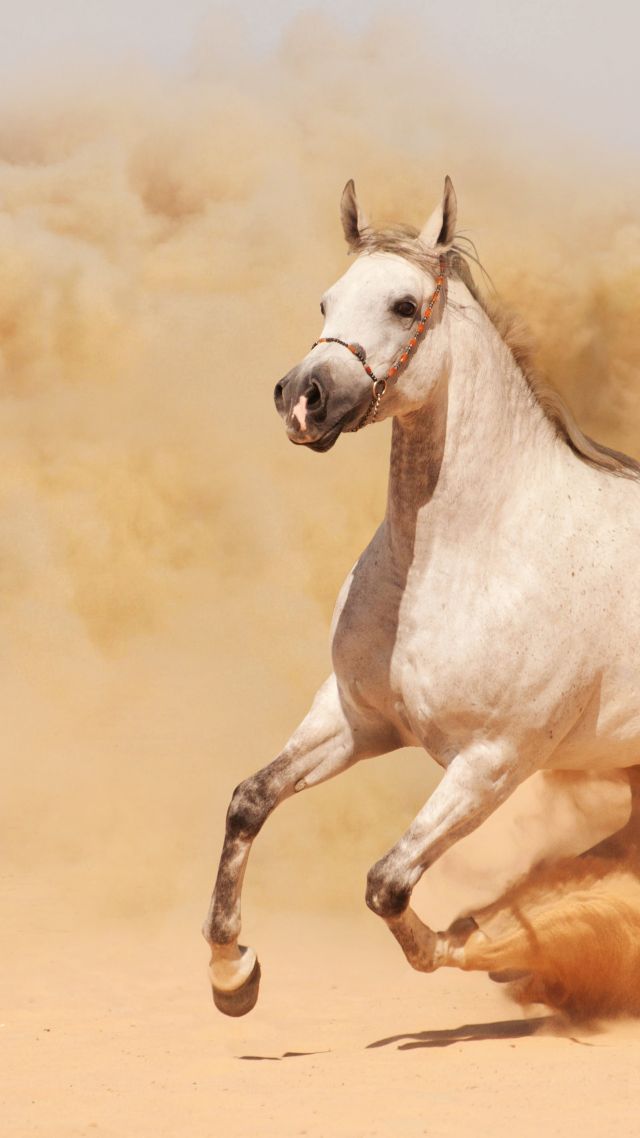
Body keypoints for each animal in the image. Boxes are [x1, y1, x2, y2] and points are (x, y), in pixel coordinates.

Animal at [204, 176, 640, 1016]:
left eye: (405, 305)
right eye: (326, 301)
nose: (301, 398)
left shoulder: (491, 763)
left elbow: (389, 886)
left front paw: (480, 941)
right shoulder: (356, 718)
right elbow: (249, 800)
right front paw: (232, 972)